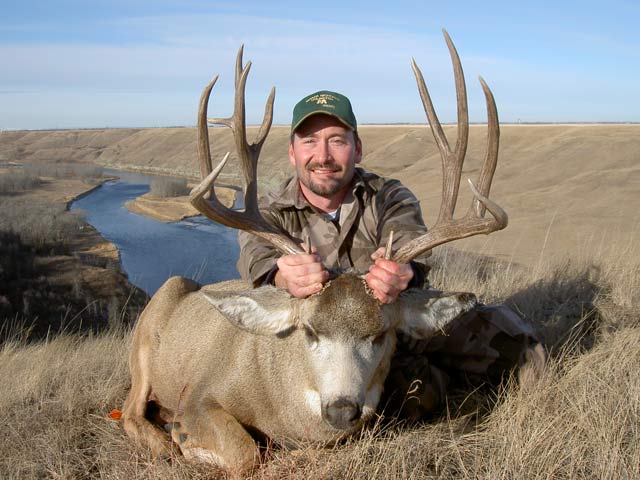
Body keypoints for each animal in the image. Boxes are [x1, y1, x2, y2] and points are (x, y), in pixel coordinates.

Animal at [121, 29, 508, 475]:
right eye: (309, 331)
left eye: (381, 334)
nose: (342, 409)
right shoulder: (198, 393)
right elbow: (244, 452)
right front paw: (183, 437)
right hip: (147, 334)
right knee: (130, 410)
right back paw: (163, 439)